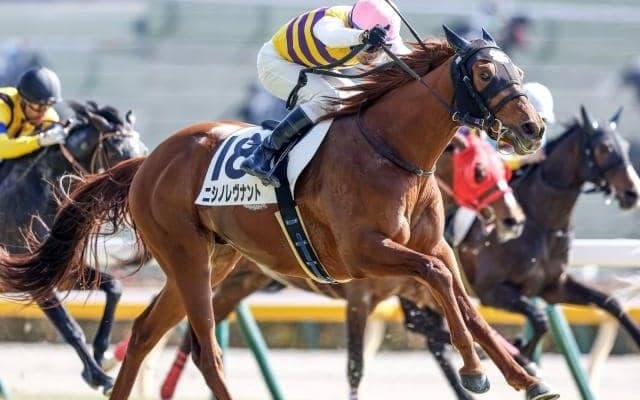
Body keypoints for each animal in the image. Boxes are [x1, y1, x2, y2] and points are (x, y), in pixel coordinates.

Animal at [0, 100, 147, 393]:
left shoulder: (66, 271)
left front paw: (101, 355)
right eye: (116, 151)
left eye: (143, 150)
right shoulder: (37, 280)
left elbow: (114, 288)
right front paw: (98, 377)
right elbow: (70, 328)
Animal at [452, 106, 640, 361]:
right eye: (604, 148)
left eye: (626, 147)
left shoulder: (553, 288)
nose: (632, 192)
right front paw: (521, 351)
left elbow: (611, 303)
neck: (541, 223)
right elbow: (540, 320)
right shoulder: (490, 290)